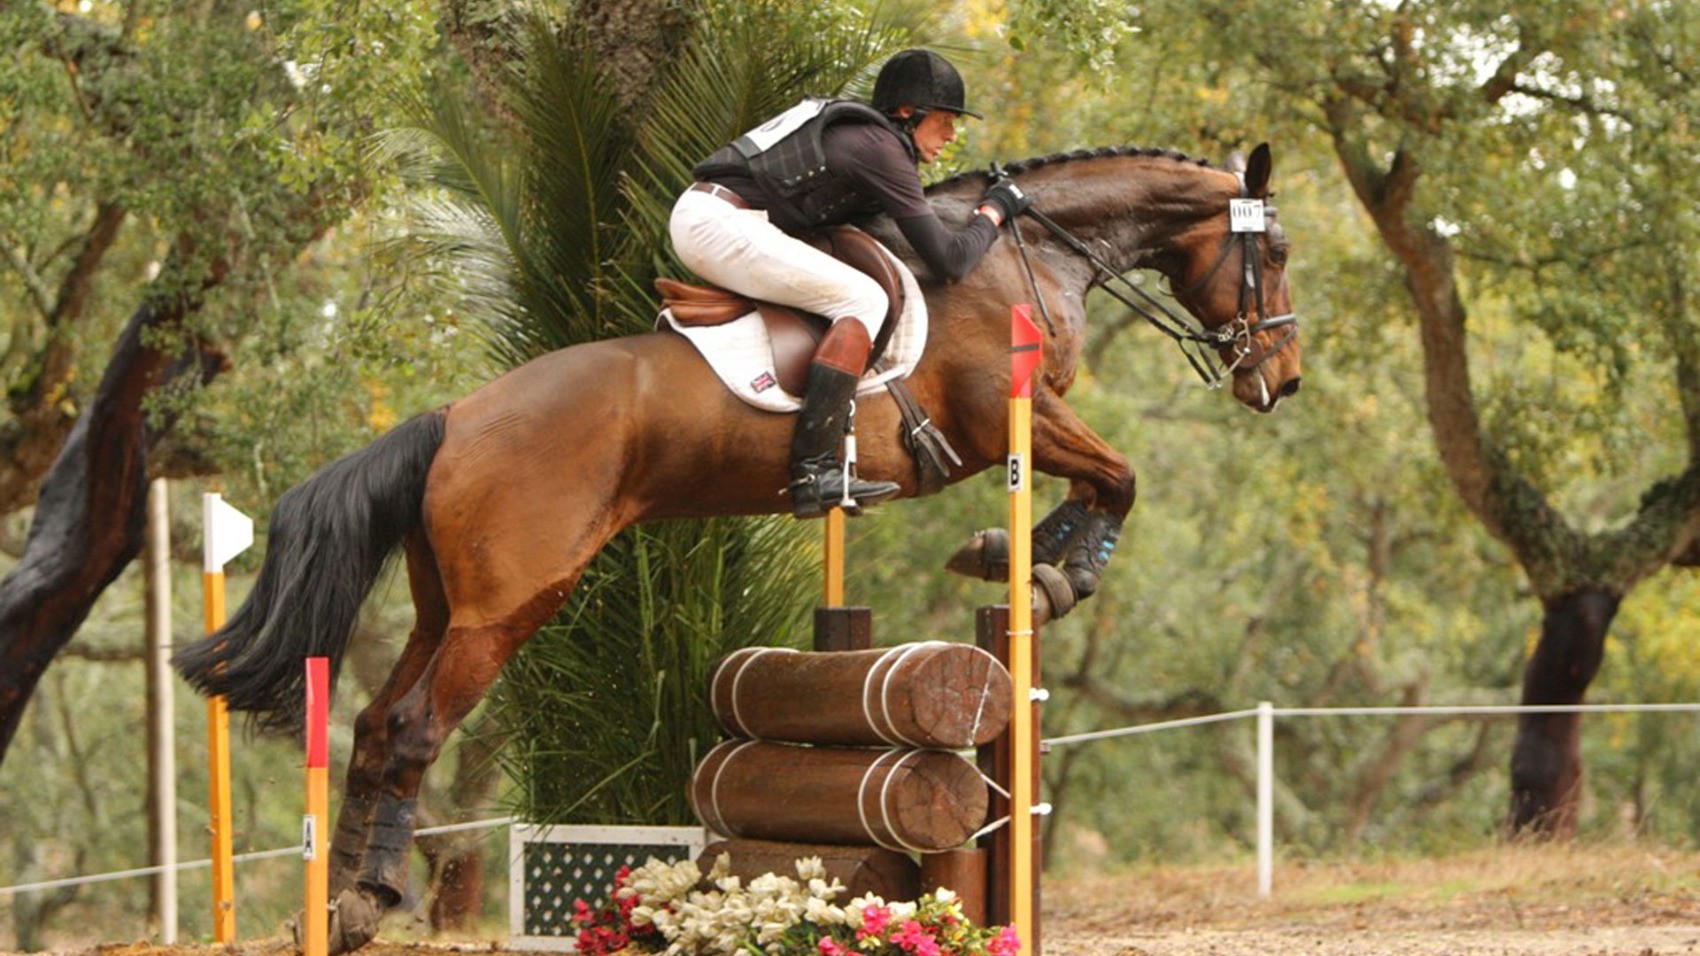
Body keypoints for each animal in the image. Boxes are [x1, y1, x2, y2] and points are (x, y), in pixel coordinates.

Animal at [173, 143, 1300, 950]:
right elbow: (1119, 475)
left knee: (371, 725)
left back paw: (338, 908)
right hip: (509, 602)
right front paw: (1048, 567)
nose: (1279, 380)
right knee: (411, 729)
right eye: (1277, 253)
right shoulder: (1005, 416)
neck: (1025, 255)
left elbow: (1102, 480)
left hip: (447, 602)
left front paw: (1031, 556)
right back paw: (368, 899)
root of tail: (452, 415)